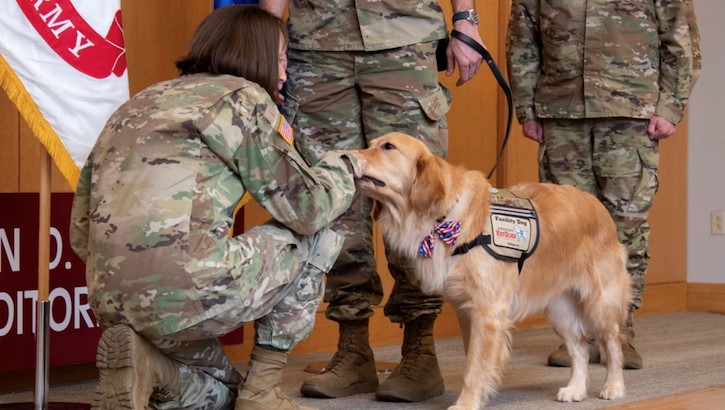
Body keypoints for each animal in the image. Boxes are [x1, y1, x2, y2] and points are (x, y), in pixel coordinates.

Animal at [354, 133, 632, 408]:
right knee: (580, 347)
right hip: (559, 307)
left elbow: (475, 366)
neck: (444, 217)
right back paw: (575, 389)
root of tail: (597, 204)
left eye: (388, 147)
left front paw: (466, 403)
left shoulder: (487, 311)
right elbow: (473, 359)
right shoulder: (466, 310)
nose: (349, 156)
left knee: (613, 342)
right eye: (370, 144)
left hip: (601, 302)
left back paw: (614, 386)